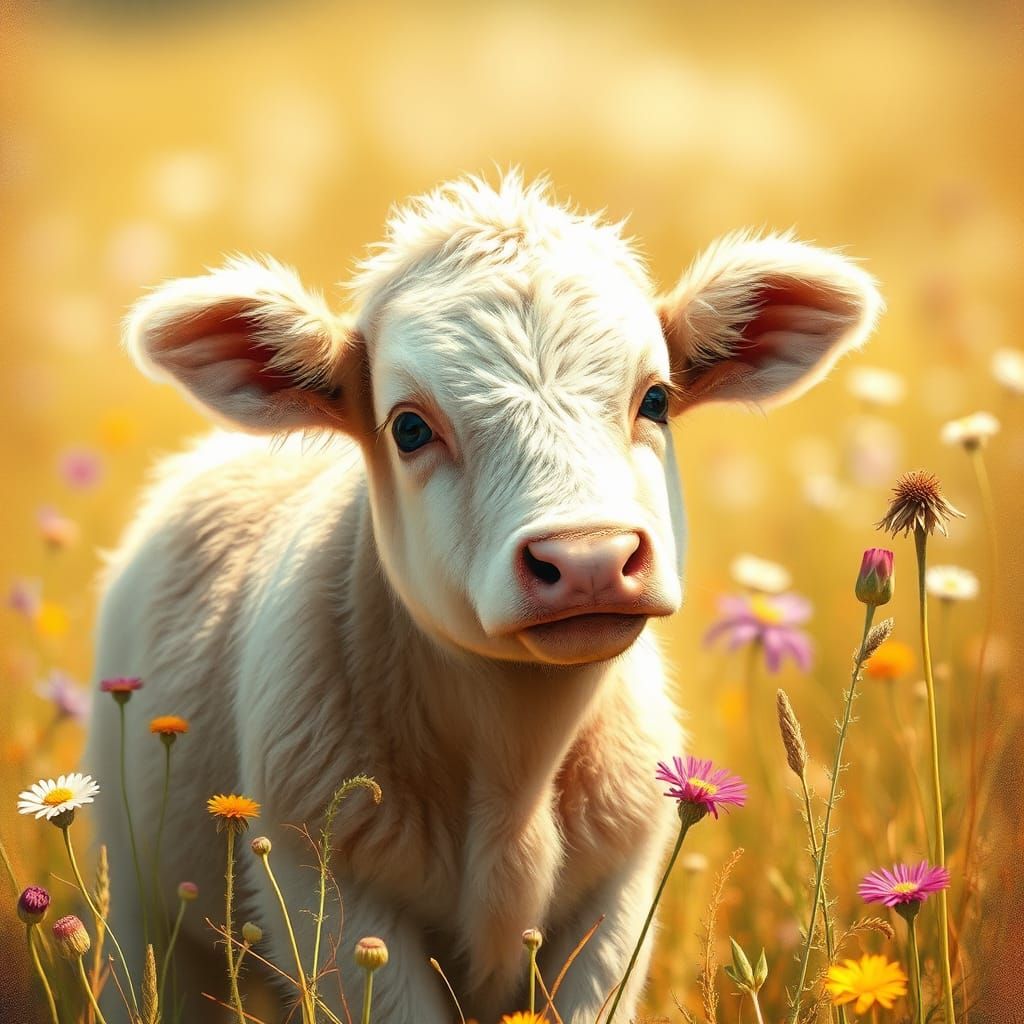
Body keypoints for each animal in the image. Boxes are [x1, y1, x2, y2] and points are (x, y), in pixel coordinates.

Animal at [85, 172, 881, 1023]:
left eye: (657, 400)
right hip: (142, 902)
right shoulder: (329, 897)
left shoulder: (617, 903)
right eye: (408, 427)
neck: (516, 762)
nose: (589, 558)